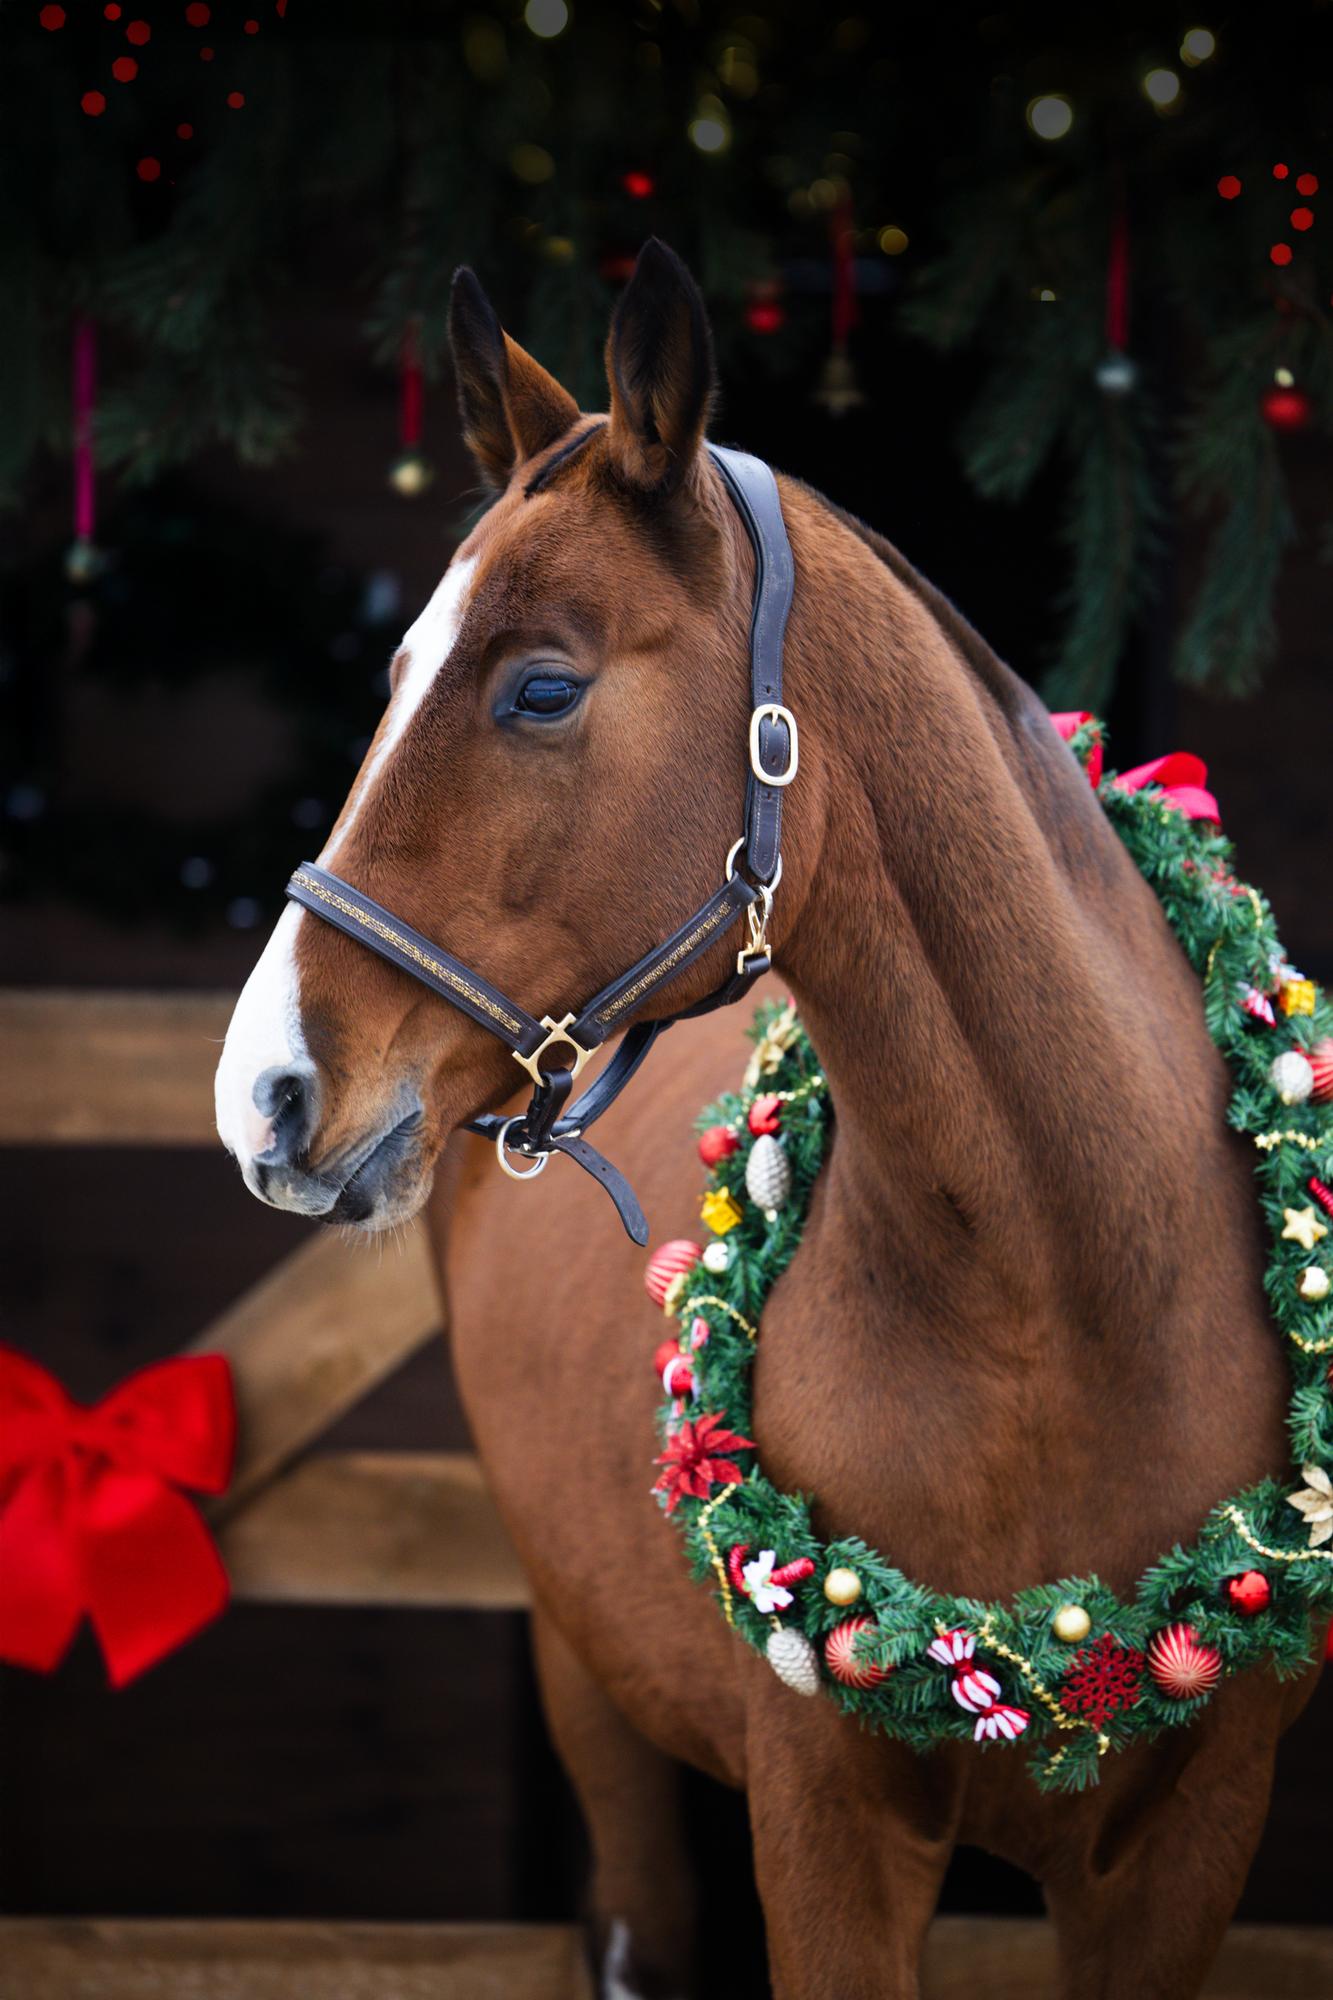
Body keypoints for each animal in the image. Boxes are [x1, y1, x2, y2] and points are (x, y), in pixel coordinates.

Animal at [214, 240, 1319, 1998]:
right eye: (389, 677)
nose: (264, 1090)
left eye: (540, 688)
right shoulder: (823, 1829)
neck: (1065, 1305)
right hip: (591, 1695)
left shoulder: (1187, 1850)